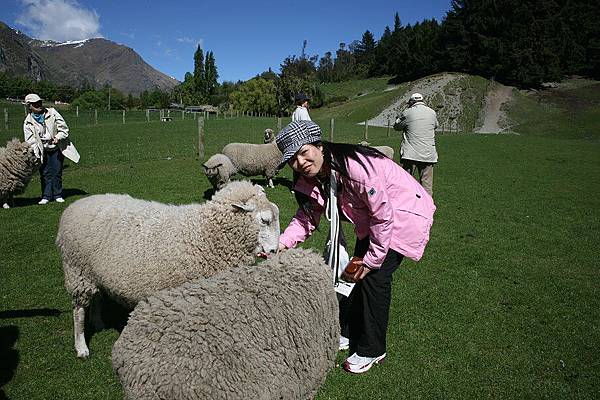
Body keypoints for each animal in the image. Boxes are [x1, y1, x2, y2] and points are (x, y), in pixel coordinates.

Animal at [56, 180, 282, 358]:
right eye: (264, 220)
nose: (274, 250)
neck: (205, 234)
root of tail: (75, 205)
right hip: (77, 270)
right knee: (78, 312)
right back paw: (81, 347)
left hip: (92, 273)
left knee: (97, 298)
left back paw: (98, 323)